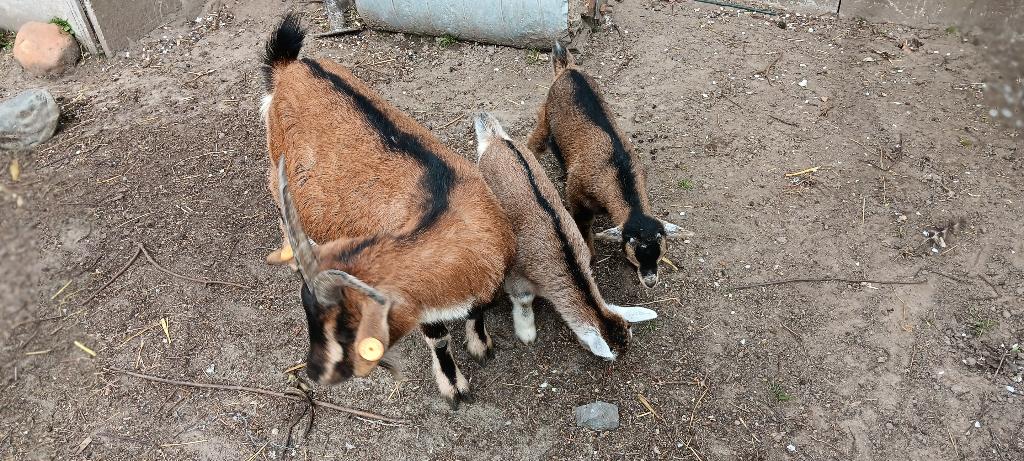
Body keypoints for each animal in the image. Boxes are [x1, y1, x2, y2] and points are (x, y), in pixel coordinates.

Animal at [261, 14, 515, 408]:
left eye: (345, 325)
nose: (315, 373)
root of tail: (289, 67)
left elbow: (478, 311)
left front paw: (481, 346)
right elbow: (439, 338)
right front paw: (454, 388)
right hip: (276, 162)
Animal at [527, 41, 692, 288]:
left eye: (661, 253)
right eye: (635, 253)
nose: (650, 281)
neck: (618, 171)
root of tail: (568, 69)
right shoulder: (578, 199)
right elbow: (583, 227)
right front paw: (591, 257)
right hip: (545, 117)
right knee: (534, 142)